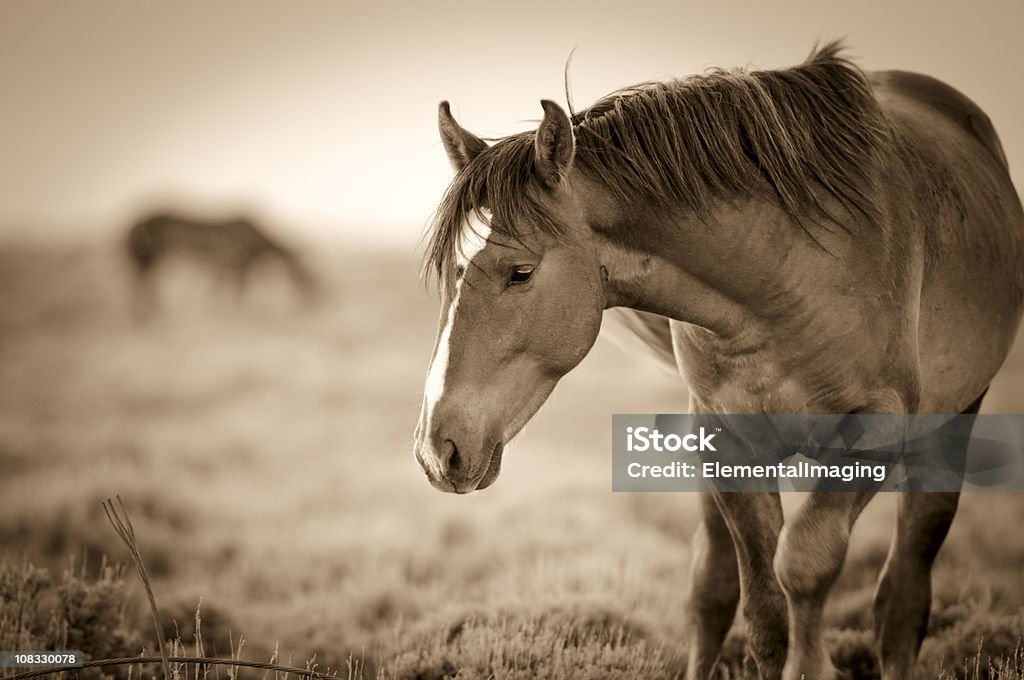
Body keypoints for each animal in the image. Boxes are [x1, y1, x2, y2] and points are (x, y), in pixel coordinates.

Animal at [124, 210, 315, 317]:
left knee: (141, 284)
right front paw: (233, 315)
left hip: (146, 259)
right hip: (151, 258)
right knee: (142, 285)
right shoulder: (237, 264)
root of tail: (139, 224)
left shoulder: (228, 266)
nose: (314, 302)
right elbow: (237, 292)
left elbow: (222, 291)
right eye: (305, 277)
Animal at [409, 43, 1024, 680]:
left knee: (903, 594)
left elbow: (803, 564)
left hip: (951, 428)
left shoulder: (875, 435)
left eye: (521, 272)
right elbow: (762, 611)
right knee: (711, 587)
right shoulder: (726, 443)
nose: (437, 450)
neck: (789, 277)